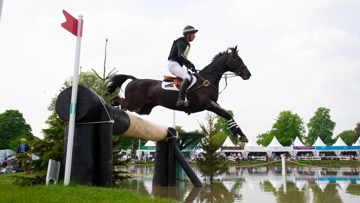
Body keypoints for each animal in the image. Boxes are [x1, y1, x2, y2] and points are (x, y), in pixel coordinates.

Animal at [105, 45, 252, 143]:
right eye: (238, 59)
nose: (248, 74)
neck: (207, 80)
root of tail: (135, 79)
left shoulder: (212, 104)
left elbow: (227, 115)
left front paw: (240, 134)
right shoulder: (208, 104)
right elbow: (227, 114)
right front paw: (237, 134)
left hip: (143, 109)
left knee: (122, 104)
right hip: (134, 104)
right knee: (117, 100)